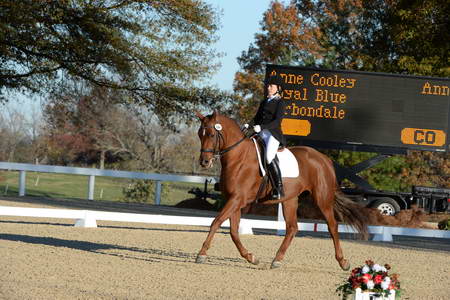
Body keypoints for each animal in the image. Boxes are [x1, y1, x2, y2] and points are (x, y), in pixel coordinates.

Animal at [195, 111, 368, 270]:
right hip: (290, 199)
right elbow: (233, 231)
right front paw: (251, 257)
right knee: (292, 227)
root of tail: (325, 159)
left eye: (211, 134)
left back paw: (343, 262)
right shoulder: (233, 200)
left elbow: (216, 222)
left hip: (322, 199)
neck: (238, 158)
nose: (204, 162)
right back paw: (277, 259)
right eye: (199, 134)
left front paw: (201, 254)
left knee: (332, 226)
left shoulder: (237, 199)